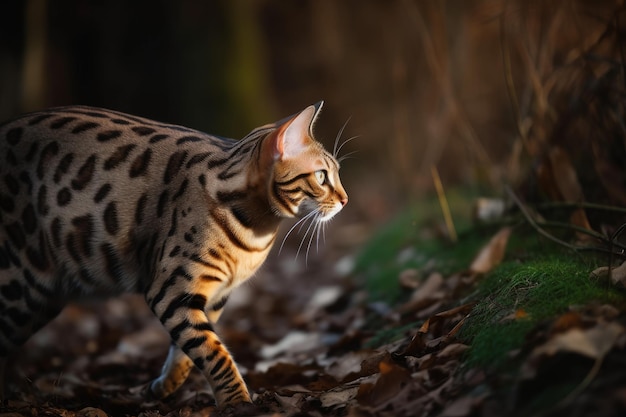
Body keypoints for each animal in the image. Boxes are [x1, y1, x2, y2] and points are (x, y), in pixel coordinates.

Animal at [0, 101, 346, 406]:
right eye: (321, 176)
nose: (345, 200)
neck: (256, 229)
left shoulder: (214, 296)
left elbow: (190, 349)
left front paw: (166, 385)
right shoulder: (170, 291)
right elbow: (214, 353)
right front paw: (237, 402)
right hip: (20, 288)